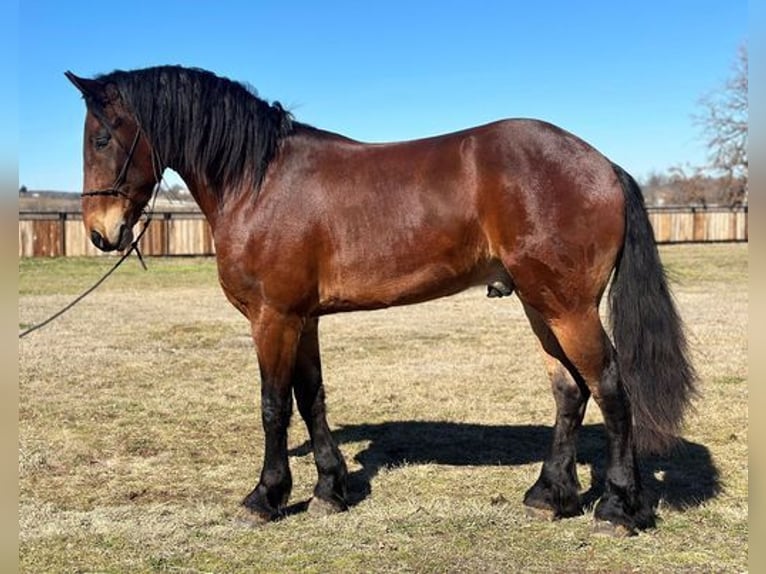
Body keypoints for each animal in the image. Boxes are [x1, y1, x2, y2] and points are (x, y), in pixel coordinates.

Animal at [69, 67, 700, 540]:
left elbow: (273, 405)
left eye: (101, 139)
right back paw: (550, 495)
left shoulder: (273, 318)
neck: (259, 180)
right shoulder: (303, 319)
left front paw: (265, 496)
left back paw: (617, 508)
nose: (101, 233)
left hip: (567, 307)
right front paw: (329, 490)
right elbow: (311, 398)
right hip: (540, 304)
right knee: (570, 390)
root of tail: (604, 165)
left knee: (611, 388)